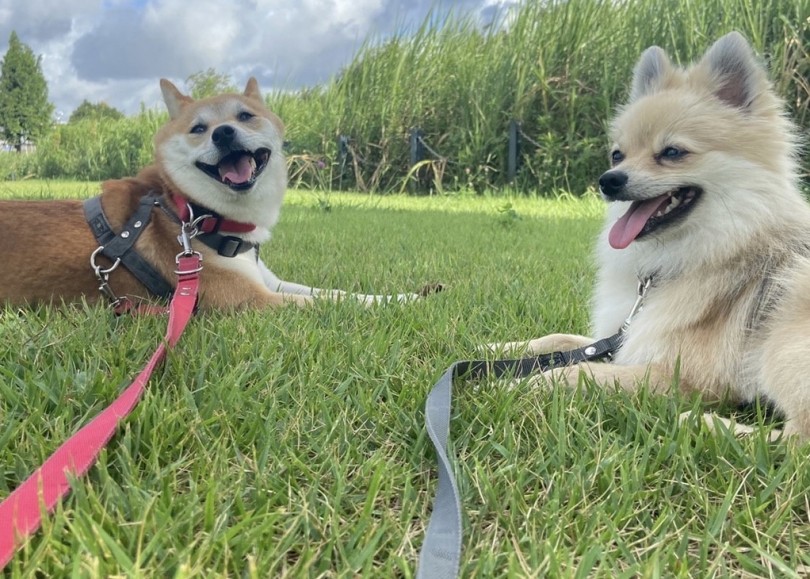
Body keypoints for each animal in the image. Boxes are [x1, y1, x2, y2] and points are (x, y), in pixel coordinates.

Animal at [0, 80, 426, 312]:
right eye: (199, 128)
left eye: (245, 116)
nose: (223, 133)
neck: (194, 214)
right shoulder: (250, 300)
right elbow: (332, 303)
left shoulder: (268, 281)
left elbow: (337, 292)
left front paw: (403, 297)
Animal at [490, 30, 808, 440]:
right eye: (617, 155)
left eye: (671, 152)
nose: (608, 180)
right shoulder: (626, 337)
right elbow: (559, 341)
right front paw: (495, 347)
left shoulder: (677, 375)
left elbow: (578, 370)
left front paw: (513, 384)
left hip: (785, 332)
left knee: (796, 441)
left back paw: (703, 423)